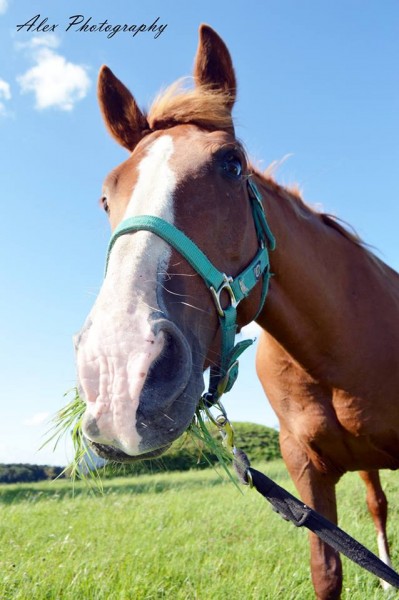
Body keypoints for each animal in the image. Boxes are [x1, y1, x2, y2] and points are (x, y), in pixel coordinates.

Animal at [75, 24, 399, 600]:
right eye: (106, 197)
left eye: (232, 164)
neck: (333, 354)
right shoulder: (305, 472)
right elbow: (328, 574)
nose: (119, 375)